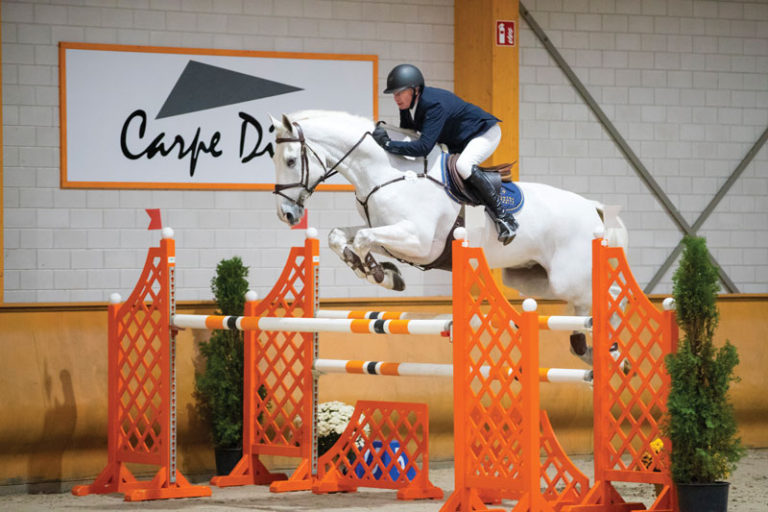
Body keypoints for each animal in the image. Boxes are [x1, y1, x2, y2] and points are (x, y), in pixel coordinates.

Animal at [269, 110, 628, 366]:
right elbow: (340, 237)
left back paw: (611, 350)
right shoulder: (391, 232)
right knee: (582, 306)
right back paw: (586, 348)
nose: (286, 215)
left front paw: (379, 273)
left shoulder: (419, 242)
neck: (386, 172)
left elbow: (363, 240)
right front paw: (380, 272)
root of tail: (592, 207)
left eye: (290, 160)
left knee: (609, 295)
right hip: (531, 278)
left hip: (568, 275)